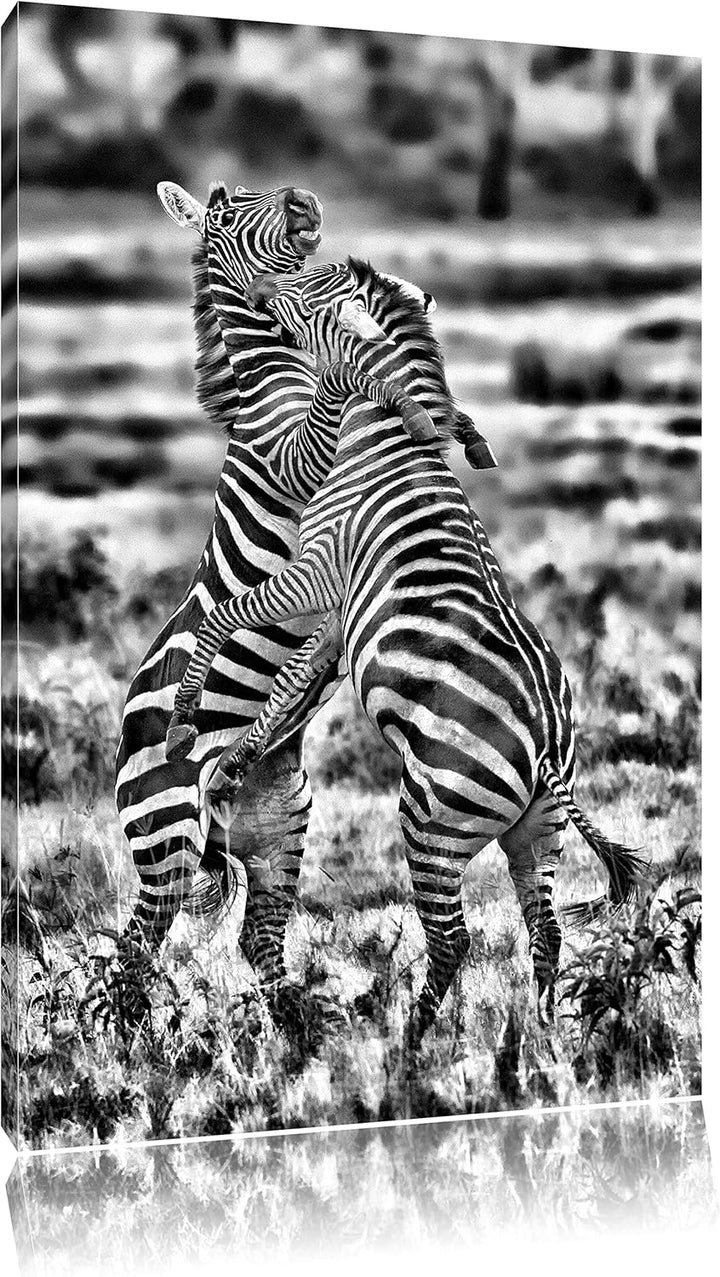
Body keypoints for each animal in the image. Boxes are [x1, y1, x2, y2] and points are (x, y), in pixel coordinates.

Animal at [166, 259, 646, 1036]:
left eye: (305, 299)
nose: (260, 293)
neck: (381, 433)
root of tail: (548, 746)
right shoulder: (337, 608)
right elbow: (289, 683)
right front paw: (237, 761)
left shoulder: (316, 570)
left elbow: (228, 620)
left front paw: (185, 715)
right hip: (535, 833)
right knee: (545, 930)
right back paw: (541, 1037)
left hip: (432, 819)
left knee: (452, 938)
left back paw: (407, 1038)